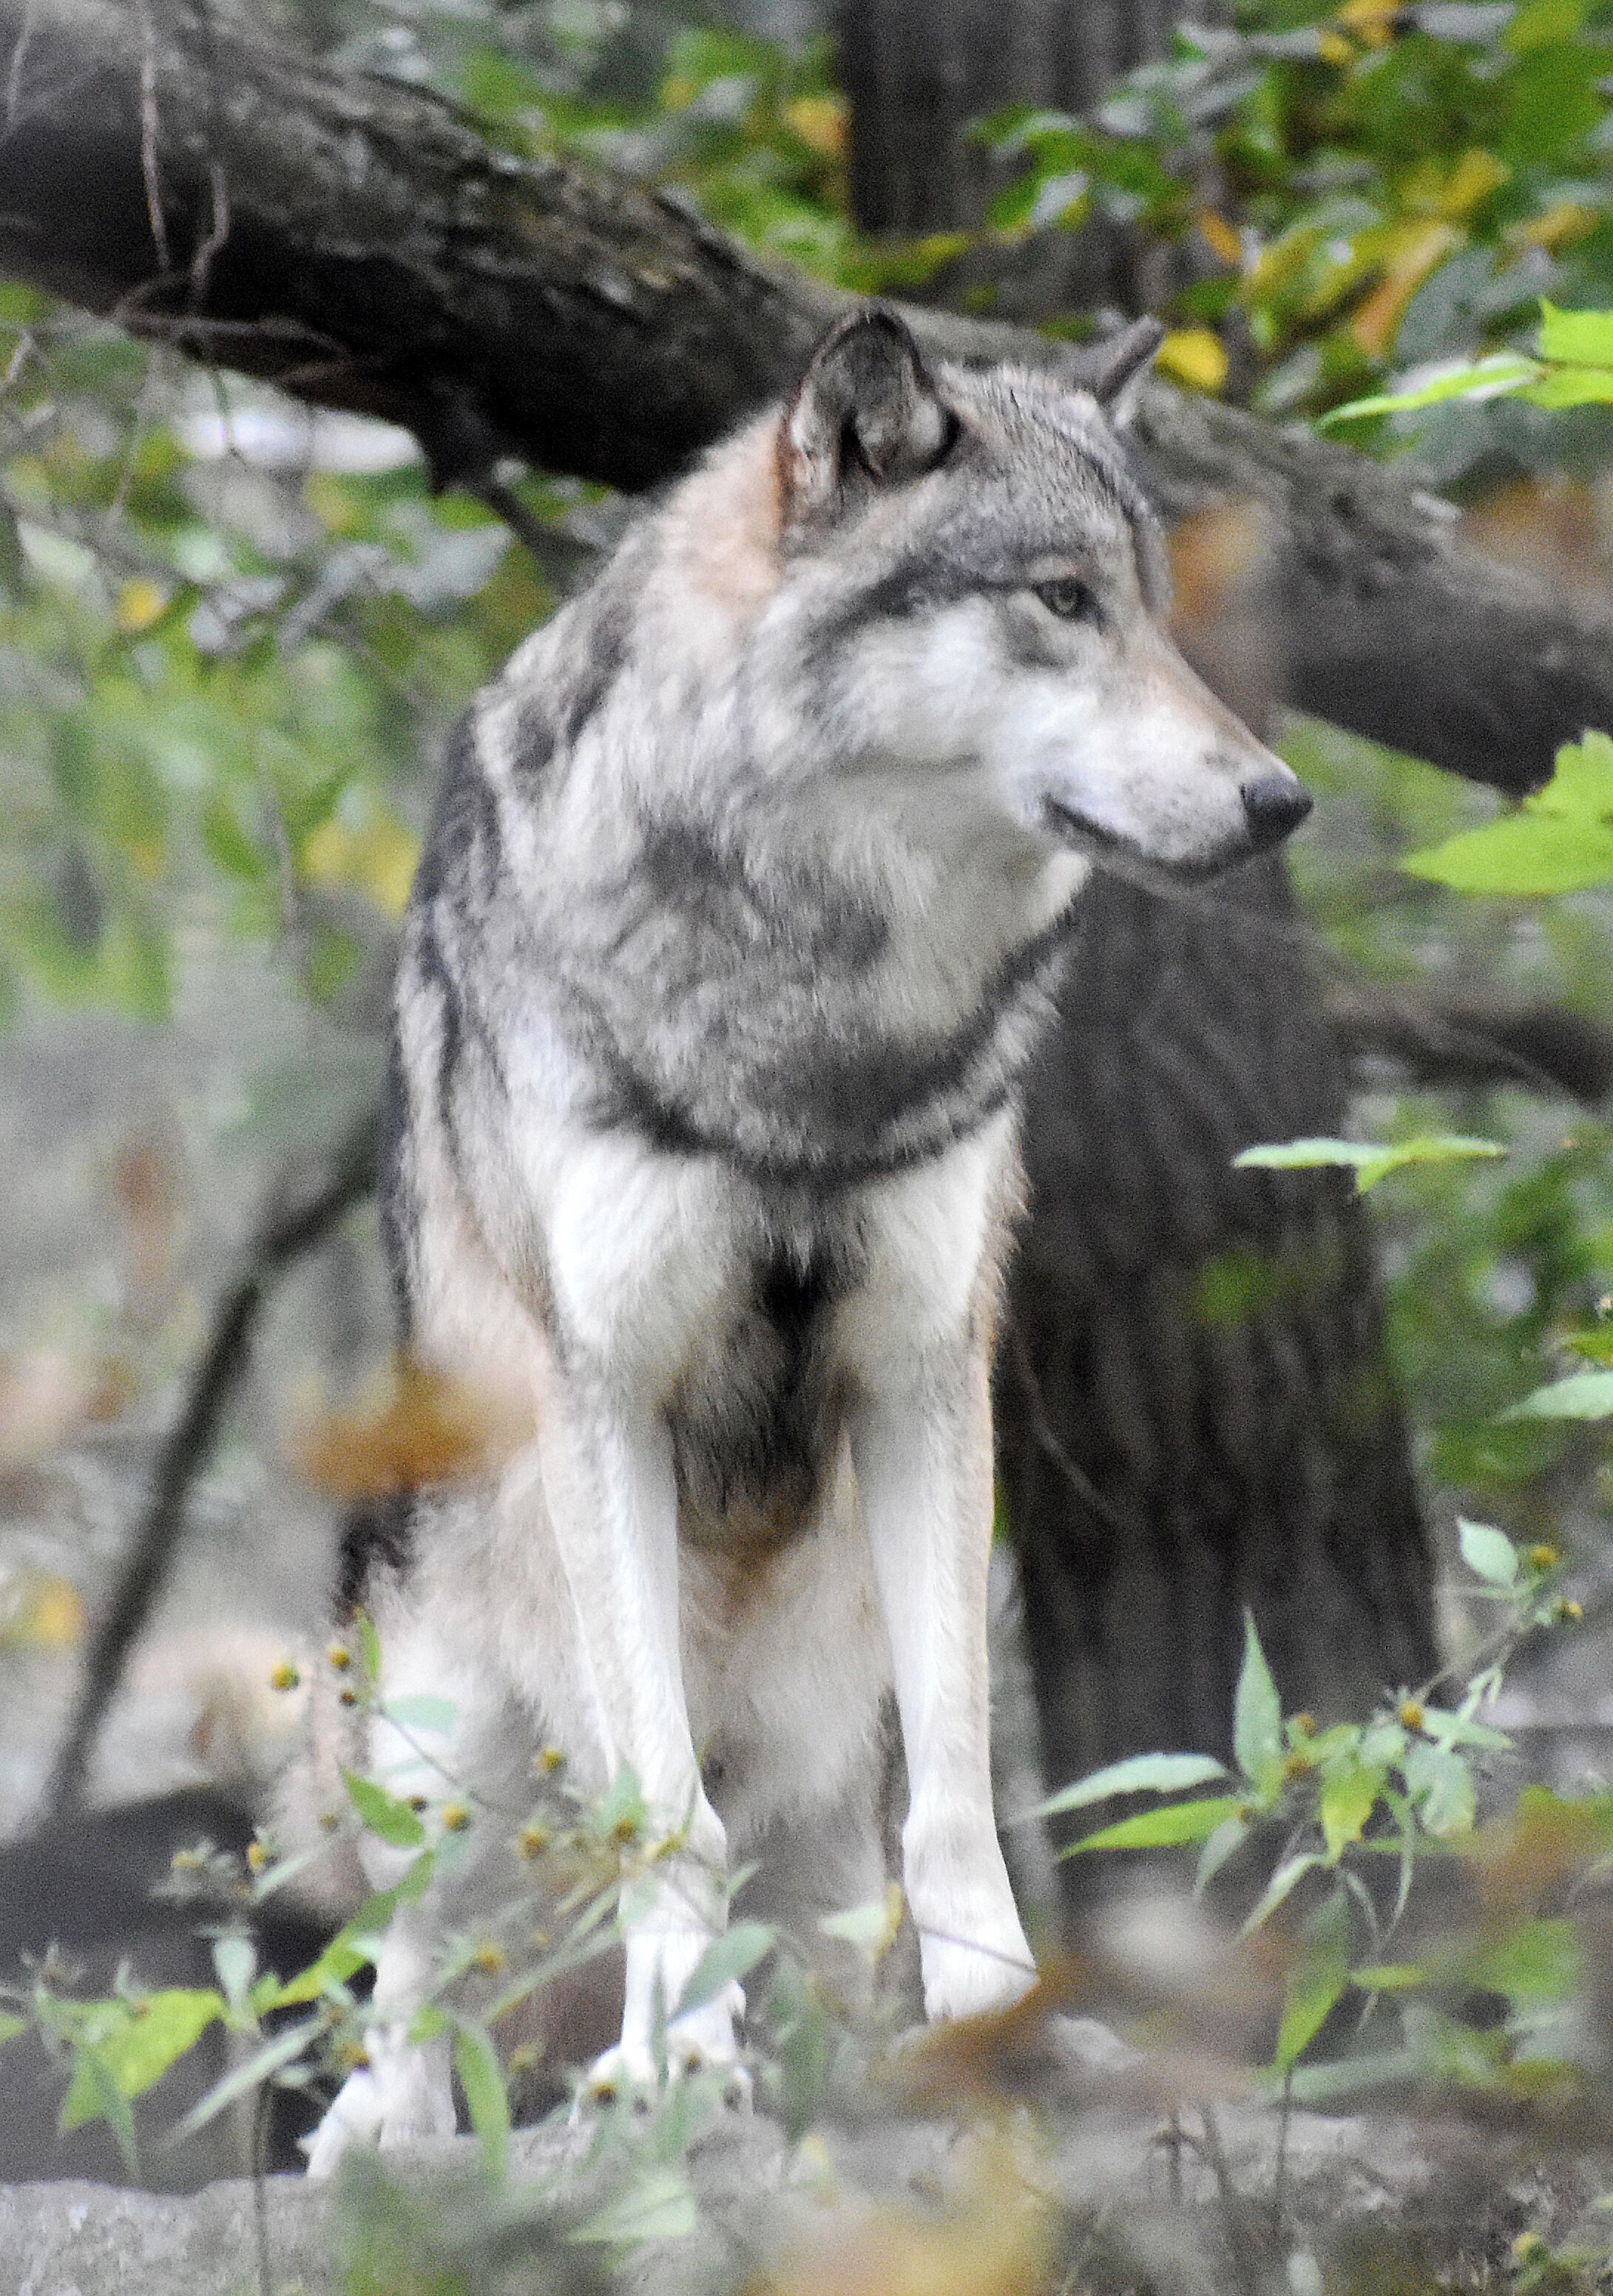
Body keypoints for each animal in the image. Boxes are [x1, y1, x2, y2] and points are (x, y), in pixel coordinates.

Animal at [294, 306, 1310, 2172]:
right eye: (1060, 599)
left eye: (1150, 606)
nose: (1278, 801)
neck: (822, 1010)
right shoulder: (603, 1391)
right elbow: (662, 1808)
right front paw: (672, 2059)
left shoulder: (924, 1377)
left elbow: (961, 1809)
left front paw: (993, 2033)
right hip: (431, 1683)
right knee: (428, 1937)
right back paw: (389, 2125)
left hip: (834, 1701)